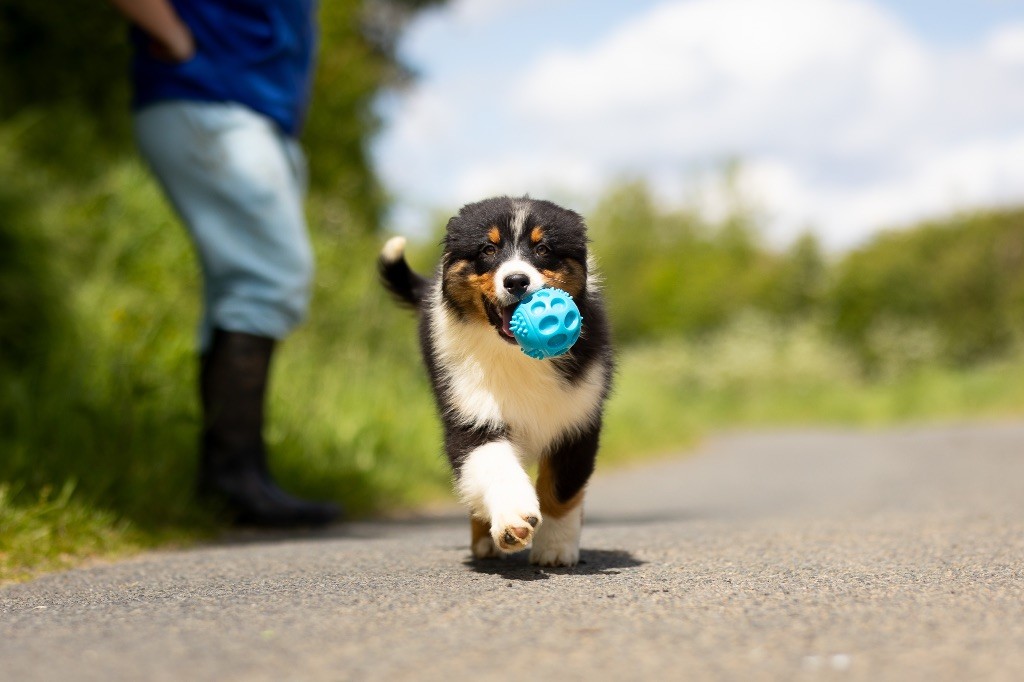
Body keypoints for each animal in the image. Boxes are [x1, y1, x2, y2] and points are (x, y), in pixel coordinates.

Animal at [378, 195, 610, 561]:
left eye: (542, 248)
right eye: (488, 249)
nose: (516, 281)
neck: (517, 355)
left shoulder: (577, 419)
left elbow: (561, 489)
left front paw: (555, 549)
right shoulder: (470, 414)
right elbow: (493, 464)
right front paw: (514, 520)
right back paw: (485, 542)